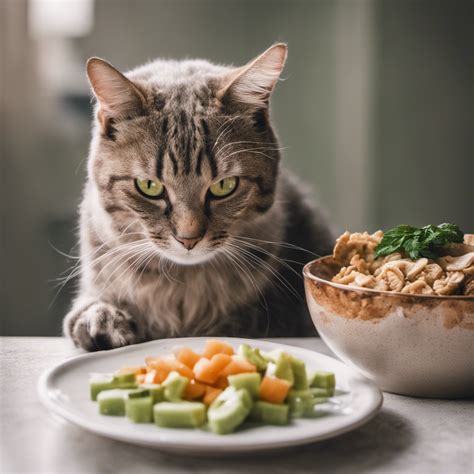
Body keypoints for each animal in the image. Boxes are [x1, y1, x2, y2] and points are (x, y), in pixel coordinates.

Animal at [63, 44, 336, 350]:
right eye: (149, 186)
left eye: (224, 186)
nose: (188, 239)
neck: (181, 287)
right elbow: (88, 308)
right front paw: (103, 319)